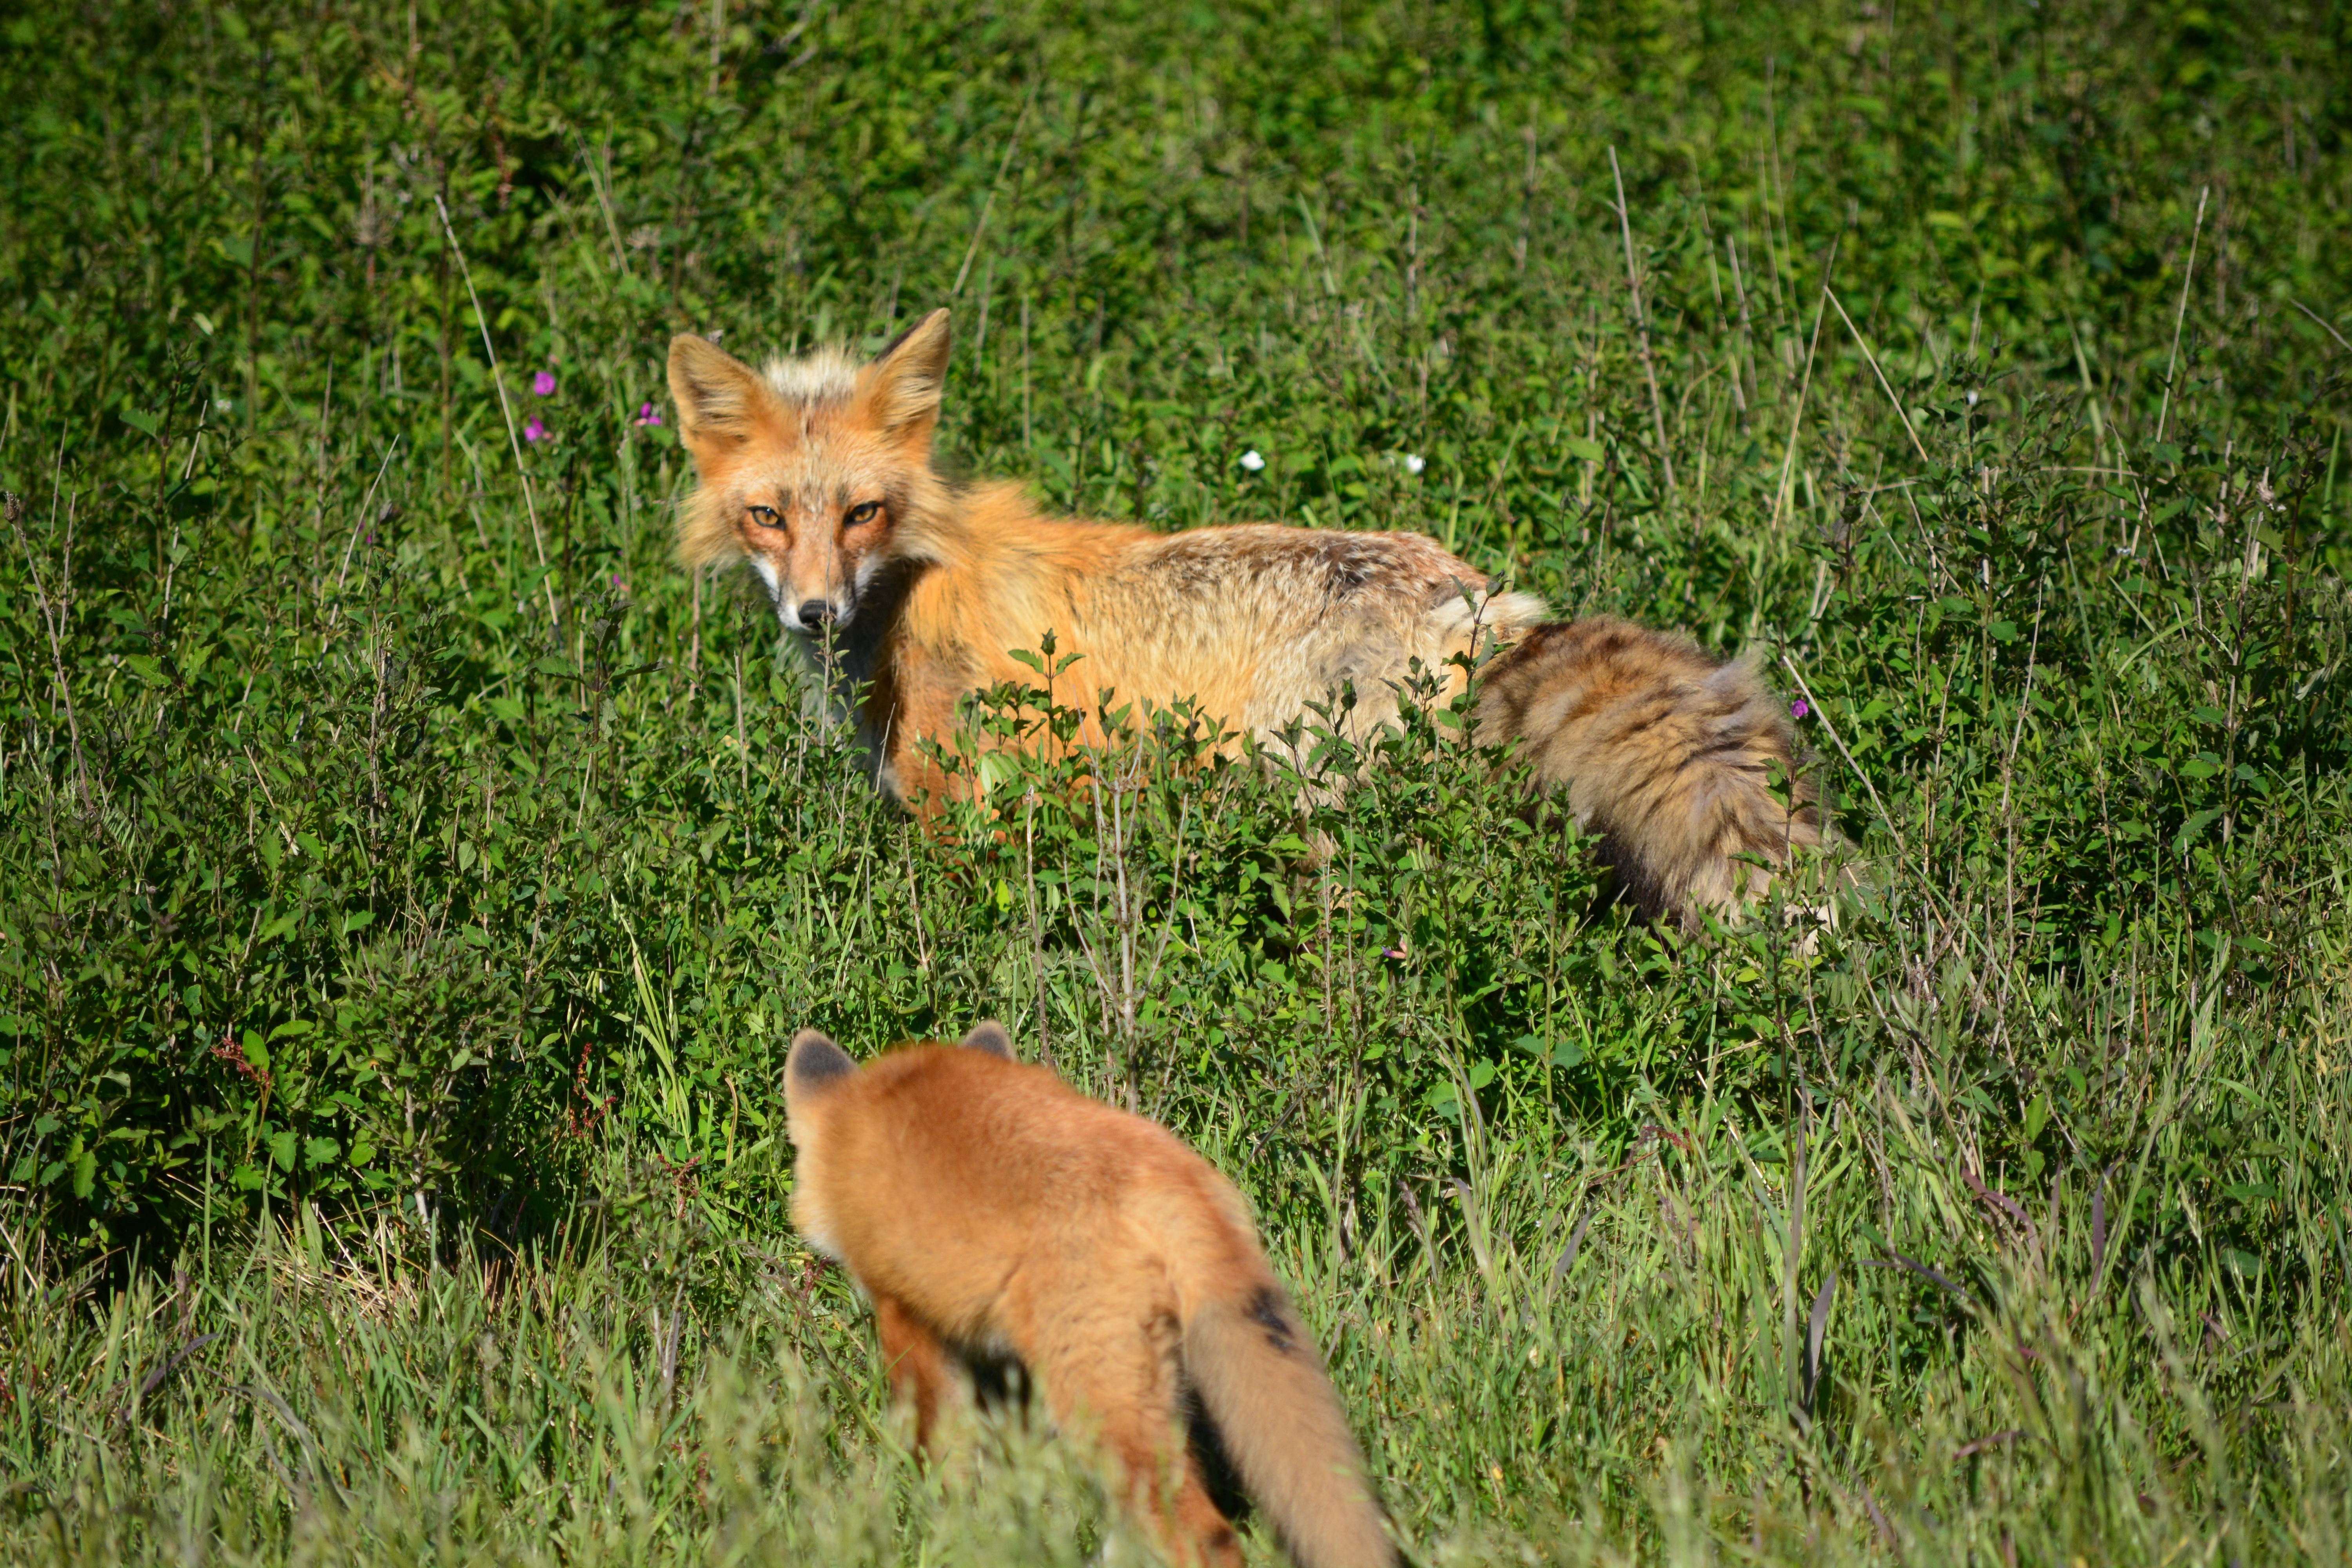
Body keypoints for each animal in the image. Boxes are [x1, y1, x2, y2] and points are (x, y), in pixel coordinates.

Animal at [673, 305, 1825, 921]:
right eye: (769, 516)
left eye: (862, 512)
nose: (816, 614)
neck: (916, 579)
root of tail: (1482, 601)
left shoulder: (967, 819)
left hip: (1323, 826)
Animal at [786, 1025, 1392, 1561]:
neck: (854, 1125)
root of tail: (1167, 1171)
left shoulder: (905, 1312)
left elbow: (941, 1453)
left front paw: (945, 1526)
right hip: (1152, 1390)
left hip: (1097, 1404)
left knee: (1207, 1538)